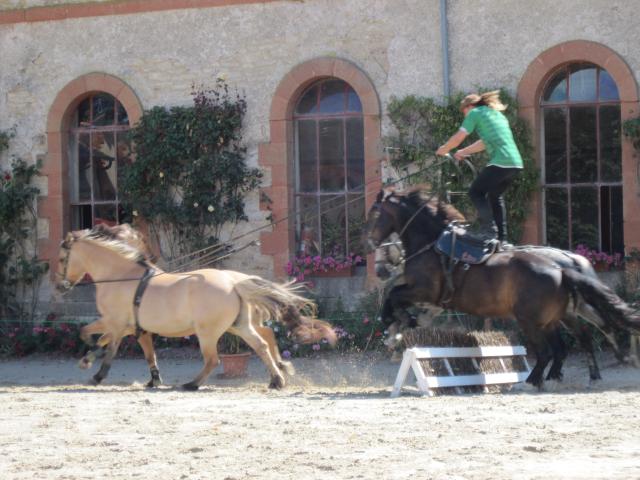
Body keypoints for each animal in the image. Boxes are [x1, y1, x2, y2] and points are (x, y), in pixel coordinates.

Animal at [56, 226, 336, 390]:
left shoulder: (114, 322)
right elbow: (145, 352)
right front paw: (153, 379)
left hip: (208, 332)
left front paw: (95, 370)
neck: (121, 276)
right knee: (262, 344)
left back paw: (192, 384)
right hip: (238, 325)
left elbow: (99, 340)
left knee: (214, 359)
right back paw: (277, 379)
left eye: (61, 258)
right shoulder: (134, 327)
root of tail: (234, 282)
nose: (60, 286)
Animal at [364, 186, 640, 388]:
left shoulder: (424, 291)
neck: (431, 242)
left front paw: (394, 328)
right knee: (568, 343)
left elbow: (393, 297)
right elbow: (402, 303)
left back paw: (535, 380)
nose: (371, 245)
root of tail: (562, 267)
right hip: (553, 317)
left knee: (553, 348)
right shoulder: (430, 299)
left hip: (532, 319)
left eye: (375, 214)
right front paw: (399, 327)